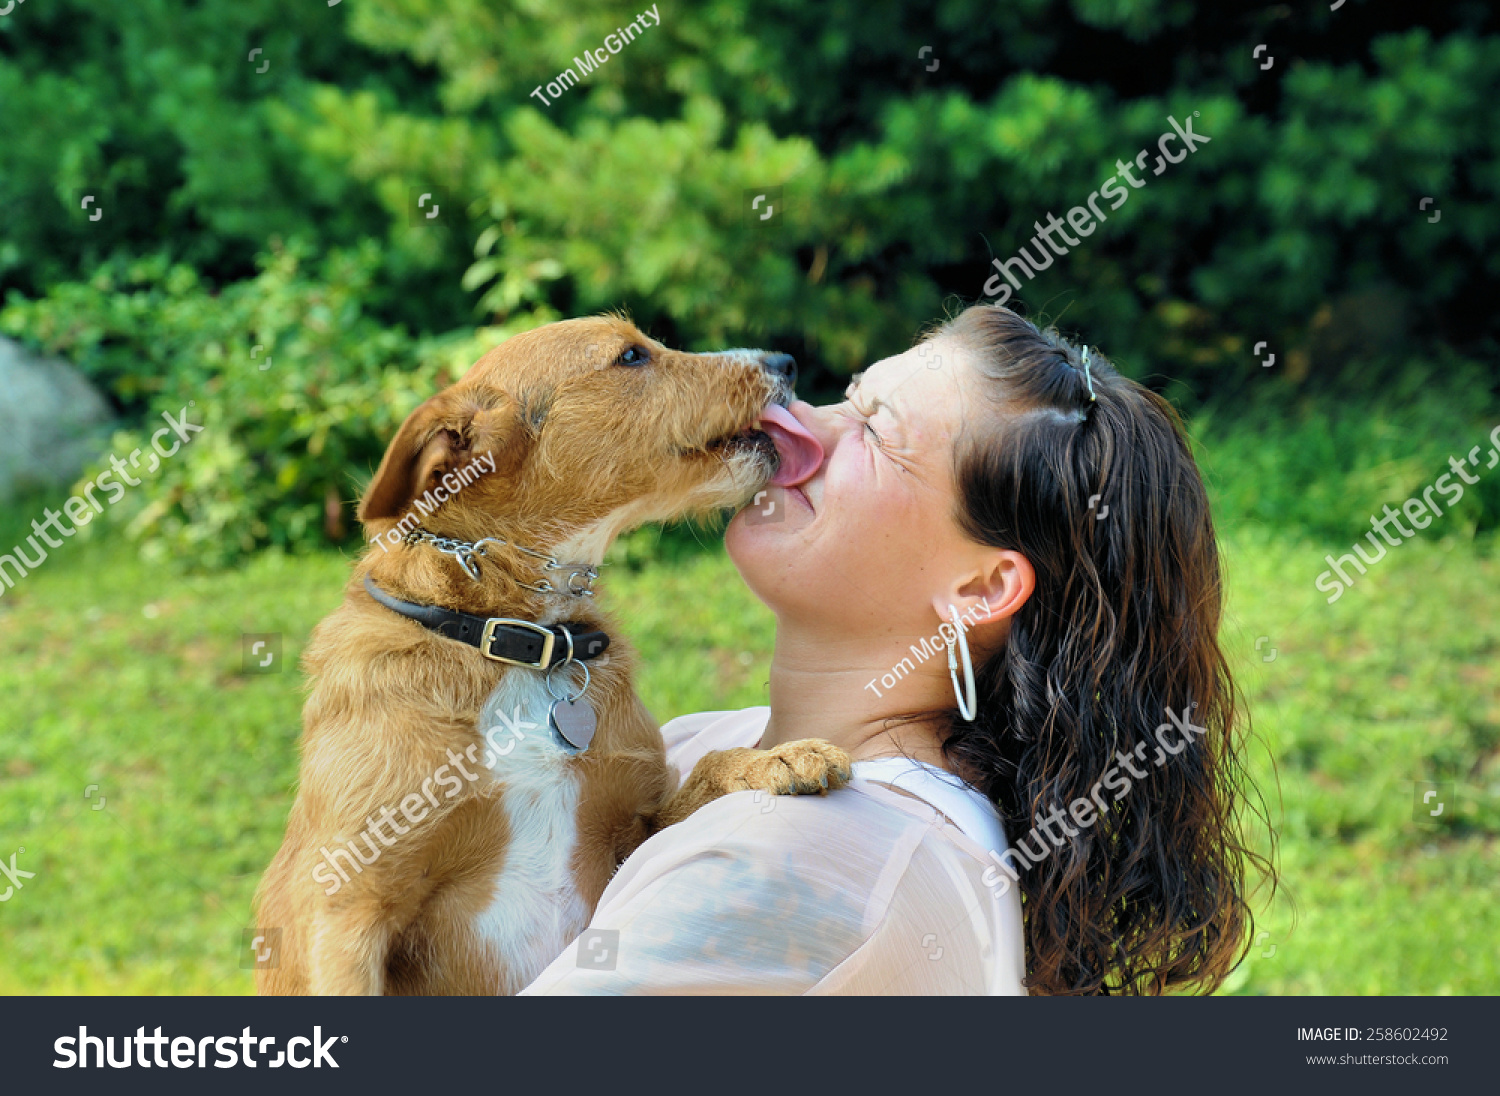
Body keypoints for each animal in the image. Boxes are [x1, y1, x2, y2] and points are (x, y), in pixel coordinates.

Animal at [258, 314, 846, 995]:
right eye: (631, 356)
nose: (785, 361)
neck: (521, 643)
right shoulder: (346, 909)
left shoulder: (630, 839)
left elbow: (701, 773)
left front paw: (776, 757)